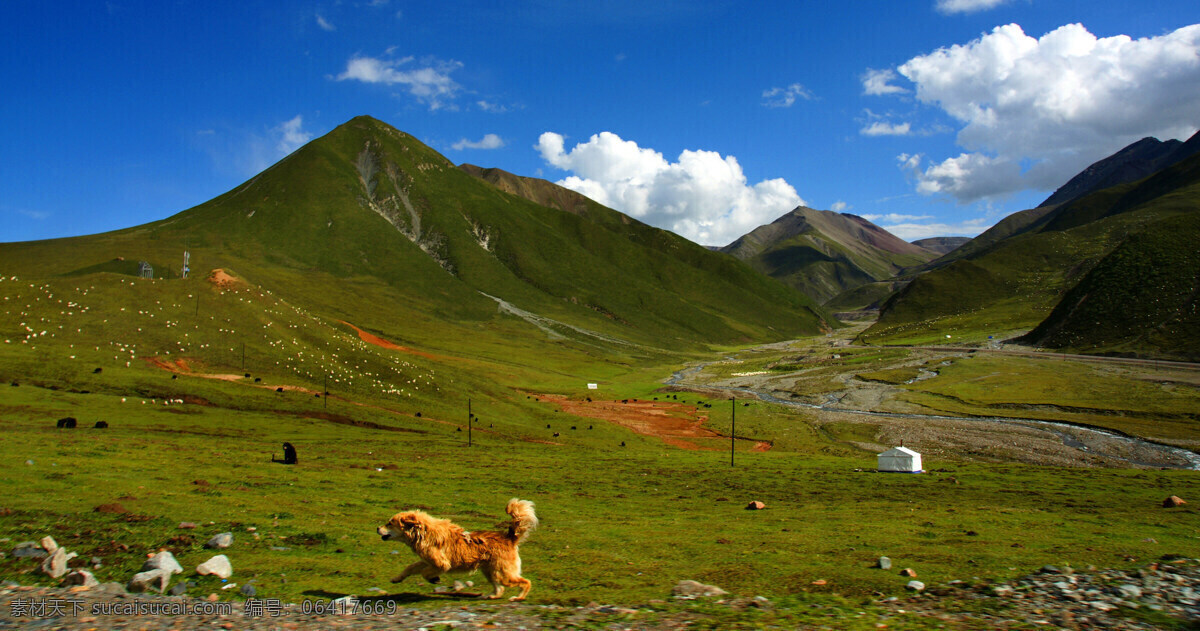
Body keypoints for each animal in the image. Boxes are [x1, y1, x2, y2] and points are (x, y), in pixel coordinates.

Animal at [379, 501, 540, 602]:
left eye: (390, 523)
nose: (377, 528)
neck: (422, 532)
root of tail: (509, 538)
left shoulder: (441, 564)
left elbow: (425, 573)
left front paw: (434, 579)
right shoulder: (426, 561)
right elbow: (410, 567)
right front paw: (397, 578)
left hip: (503, 574)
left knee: (526, 582)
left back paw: (518, 597)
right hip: (491, 572)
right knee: (499, 589)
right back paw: (490, 596)